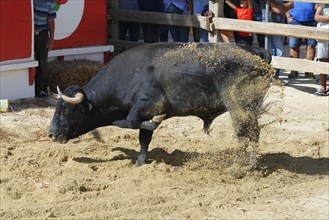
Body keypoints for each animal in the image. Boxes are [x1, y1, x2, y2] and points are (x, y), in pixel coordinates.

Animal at [48, 42, 274, 166]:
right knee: (249, 134)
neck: (129, 75)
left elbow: (131, 122)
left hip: (240, 107)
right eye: (56, 109)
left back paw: (244, 166)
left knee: (248, 133)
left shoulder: (148, 104)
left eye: (67, 111)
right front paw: (140, 162)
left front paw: (155, 122)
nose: (50, 134)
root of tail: (259, 52)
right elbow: (143, 139)